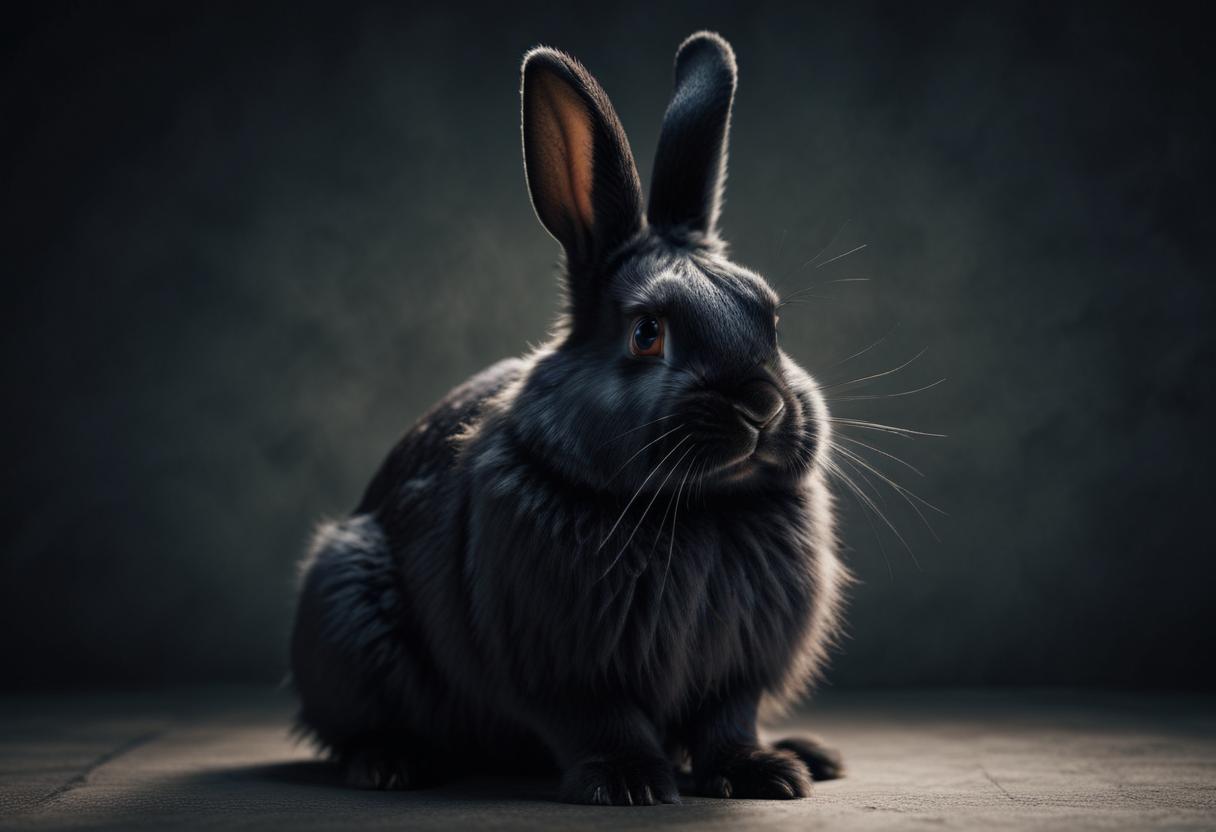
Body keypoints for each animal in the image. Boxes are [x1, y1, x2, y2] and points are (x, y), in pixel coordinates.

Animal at [290, 31, 849, 805]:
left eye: (770, 318)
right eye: (646, 333)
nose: (762, 407)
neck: (695, 507)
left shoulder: (735, 670)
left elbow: (726, 721)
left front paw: (763, 774)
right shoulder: (563, 667)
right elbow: (598, 720)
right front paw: (630, 784)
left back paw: (812, 756)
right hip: (345, 607)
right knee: (358, 726)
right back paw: (389, 764)